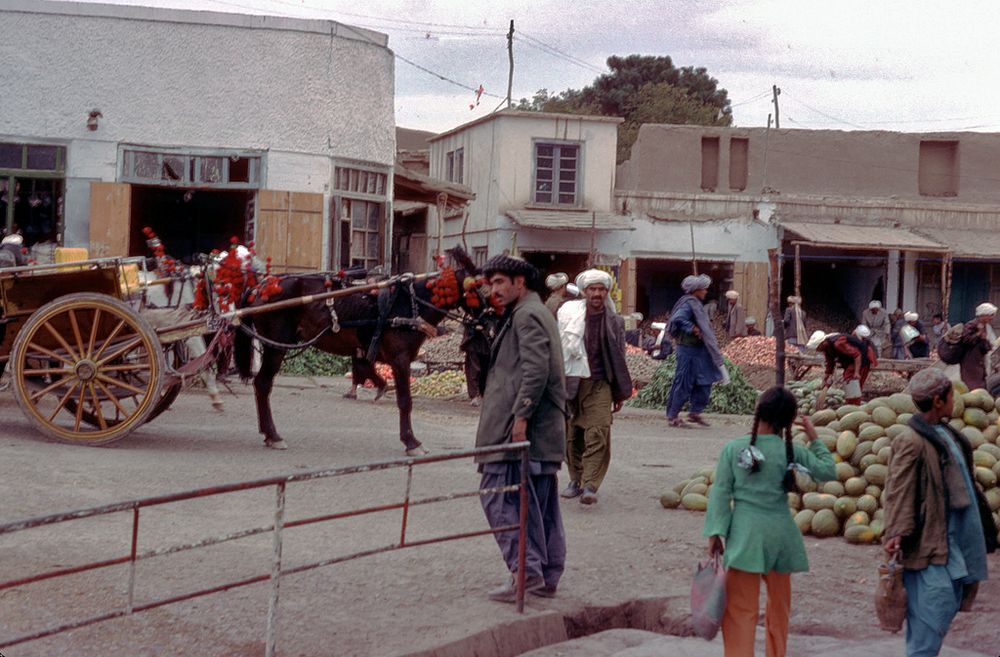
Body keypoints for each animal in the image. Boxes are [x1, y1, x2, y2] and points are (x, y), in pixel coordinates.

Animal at [235, 249, 484, 454]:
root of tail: (259, 287)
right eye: (477, 287)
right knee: (263, 384)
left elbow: (368, 368)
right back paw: (273, 435)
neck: (409, 304)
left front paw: (380, 388)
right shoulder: (400, 358)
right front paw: (411, 442)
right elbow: (405, 400)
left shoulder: (372, 351)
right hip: (275, 346)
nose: (489, 317)